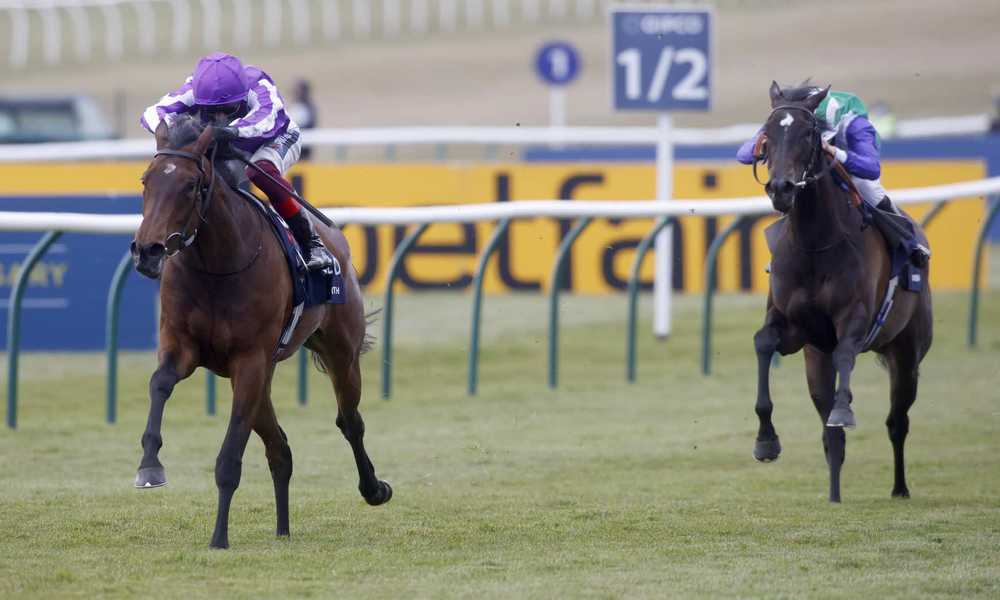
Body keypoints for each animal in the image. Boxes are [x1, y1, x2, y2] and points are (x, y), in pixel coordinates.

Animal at [135, 117, 392, 548]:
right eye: (145, 180)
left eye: (190, 185)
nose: (147, 250)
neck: (217, 266)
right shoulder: (182, 347)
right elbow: (159, 383)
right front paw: (149, 466)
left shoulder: (249, 361)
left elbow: (229, 458)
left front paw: (218, 538)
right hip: (264, 375)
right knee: (280, 448)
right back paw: (283, 529)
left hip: (340, 350)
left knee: (349, 421)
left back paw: (373, 489)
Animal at [752, 83, 932, 502]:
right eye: (767, 135)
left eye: (808, 134)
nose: (781, 188)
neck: (815, 244)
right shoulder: (796, 330)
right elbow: (763, 342)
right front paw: (766, 441)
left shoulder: (854, 319)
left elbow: (847, 355)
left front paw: (845, 409)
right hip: (815, 361)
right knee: (830, 436)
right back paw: (834, 493)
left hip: (907, 354)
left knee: (897, 422)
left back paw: (900, 488)